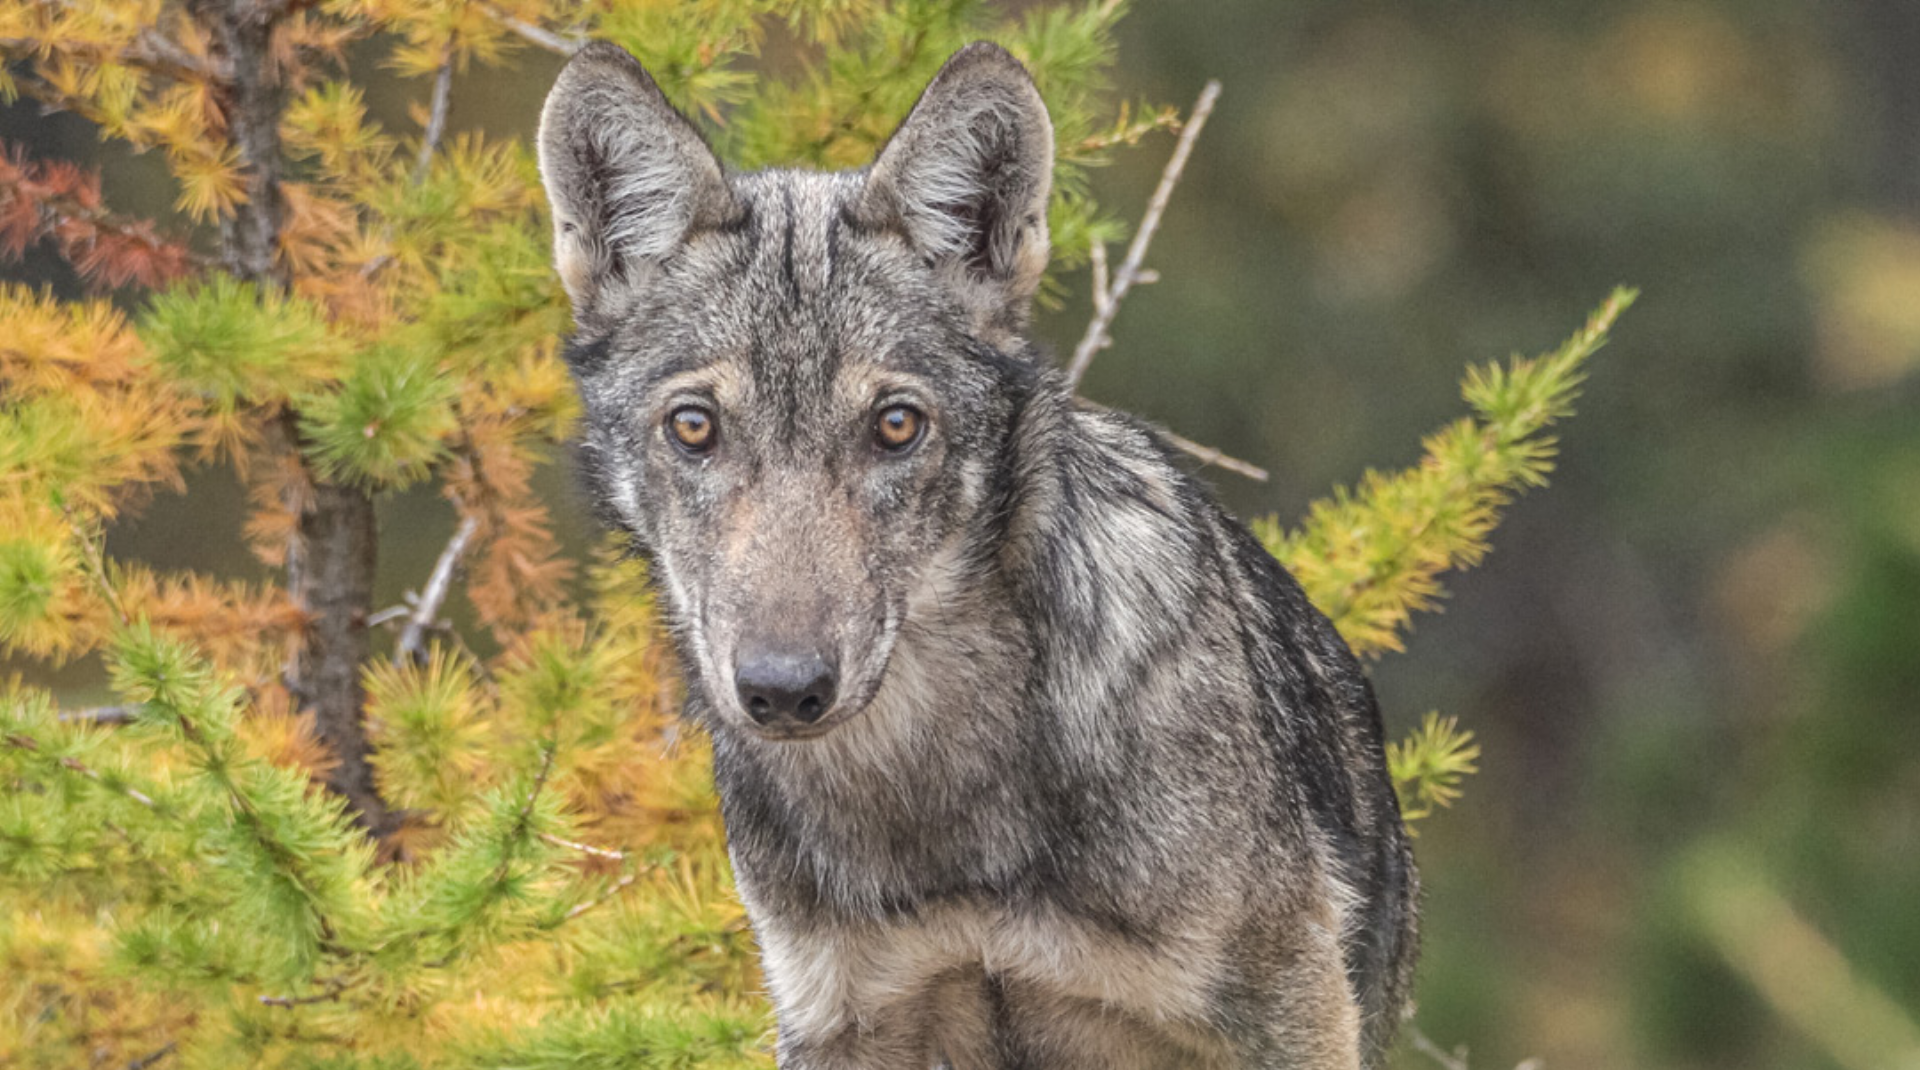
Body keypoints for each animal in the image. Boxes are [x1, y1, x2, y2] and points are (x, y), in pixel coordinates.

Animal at [538, 40, 1418, 1070]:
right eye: (694, 427)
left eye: (895, 426)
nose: (784, 690)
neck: (935, 811)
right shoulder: (843, 1021)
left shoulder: (1286, 1012)